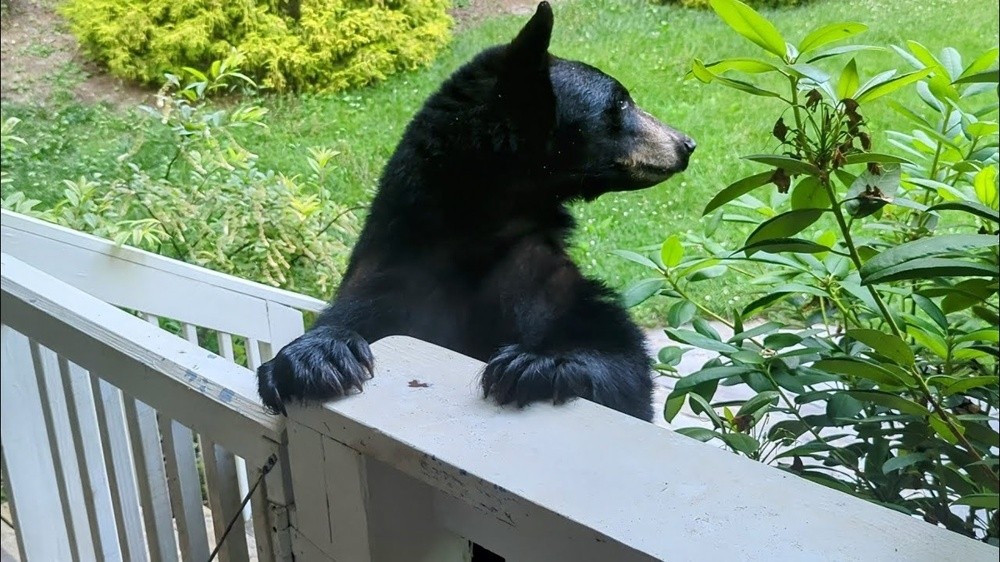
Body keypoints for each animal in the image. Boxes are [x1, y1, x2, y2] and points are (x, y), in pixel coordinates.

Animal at [258, 1, 696, 420]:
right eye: (620, 102)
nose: (685, 143)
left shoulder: (536, 272)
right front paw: (316, 356)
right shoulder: (389, 276)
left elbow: (620, 360)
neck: (473, 231)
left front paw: (535, 364)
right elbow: (348, 319)